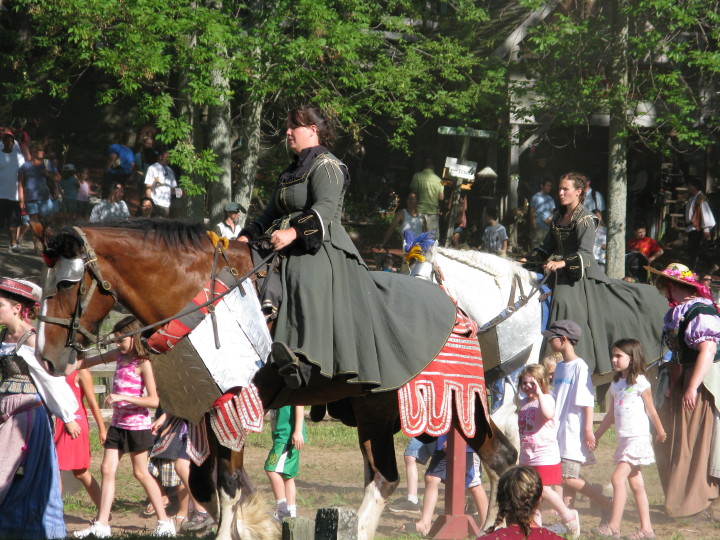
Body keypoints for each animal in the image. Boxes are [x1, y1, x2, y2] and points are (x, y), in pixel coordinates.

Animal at [36, 220, 516, 540]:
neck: (199, 293)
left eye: (67, 283)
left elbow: (227, 484)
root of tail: (457, 311)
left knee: (498, 457)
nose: (47, 357)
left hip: (451, 402)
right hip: (374, 411)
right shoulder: (209, 410)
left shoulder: (234, 404)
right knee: (385, 477)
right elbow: (206, 483)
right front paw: (254, 522)